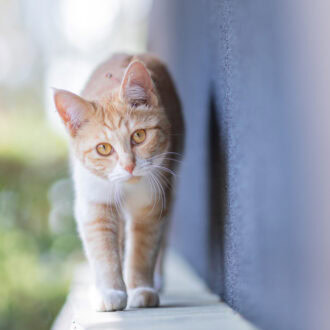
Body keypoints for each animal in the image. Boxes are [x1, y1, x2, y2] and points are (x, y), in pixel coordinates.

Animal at [52, 52, 184, 310]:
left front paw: (141, 289)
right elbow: (104, 251)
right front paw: (111, 291)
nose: (129, 166)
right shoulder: (95, 203)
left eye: (139, 136)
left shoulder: (151, 202)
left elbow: (143, 249)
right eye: (103, 148)